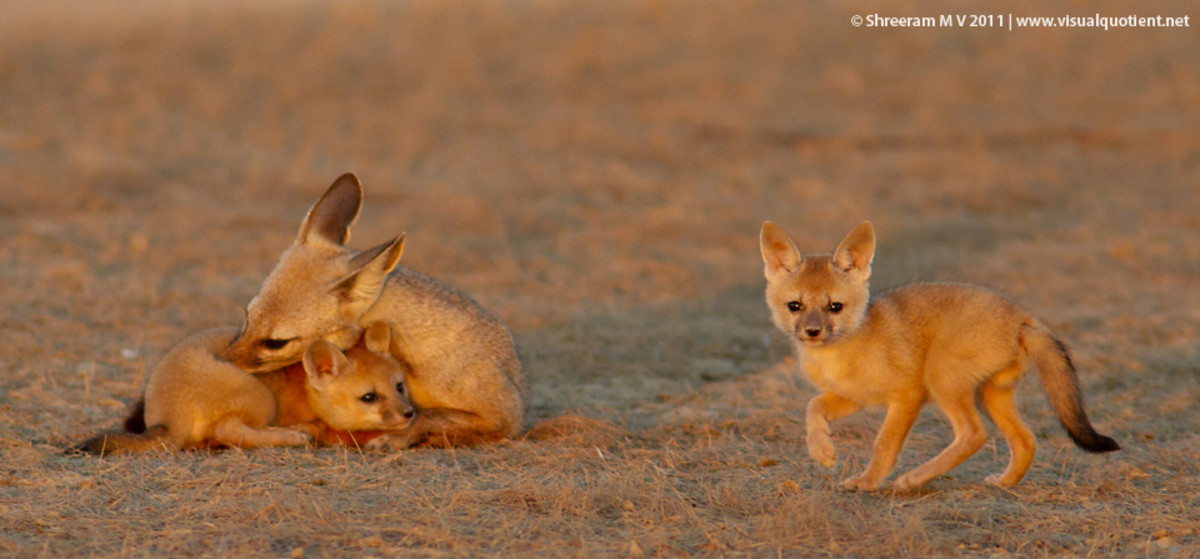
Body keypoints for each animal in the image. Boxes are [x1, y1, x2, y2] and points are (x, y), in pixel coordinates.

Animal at [76, 321, 412, 455]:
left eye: (400, 387)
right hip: (260, 397)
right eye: (369, 397)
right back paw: (291, 435)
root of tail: (167, 418)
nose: (409, 414)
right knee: (228, 431)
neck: (304, 389)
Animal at [222, 172, 530, 448]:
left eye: (276, 343)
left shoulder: (505, 417)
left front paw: (394, 438)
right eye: (247, 318)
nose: (221, 361)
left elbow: (426, 415)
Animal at [758, 220, 1113, 491]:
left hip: (943, 380)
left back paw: (914, 479)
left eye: (835, 307)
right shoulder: (853, 396)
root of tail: (1023, 317)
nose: (812, 332)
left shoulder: (908, 395)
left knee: (973, 435)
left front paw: (868, 481)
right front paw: (822, 451)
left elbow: (884, 445)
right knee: (1026, 440)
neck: (845, 349)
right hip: (988, 396)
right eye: (795, 306)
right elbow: (813, 407)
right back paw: (1003, 483)